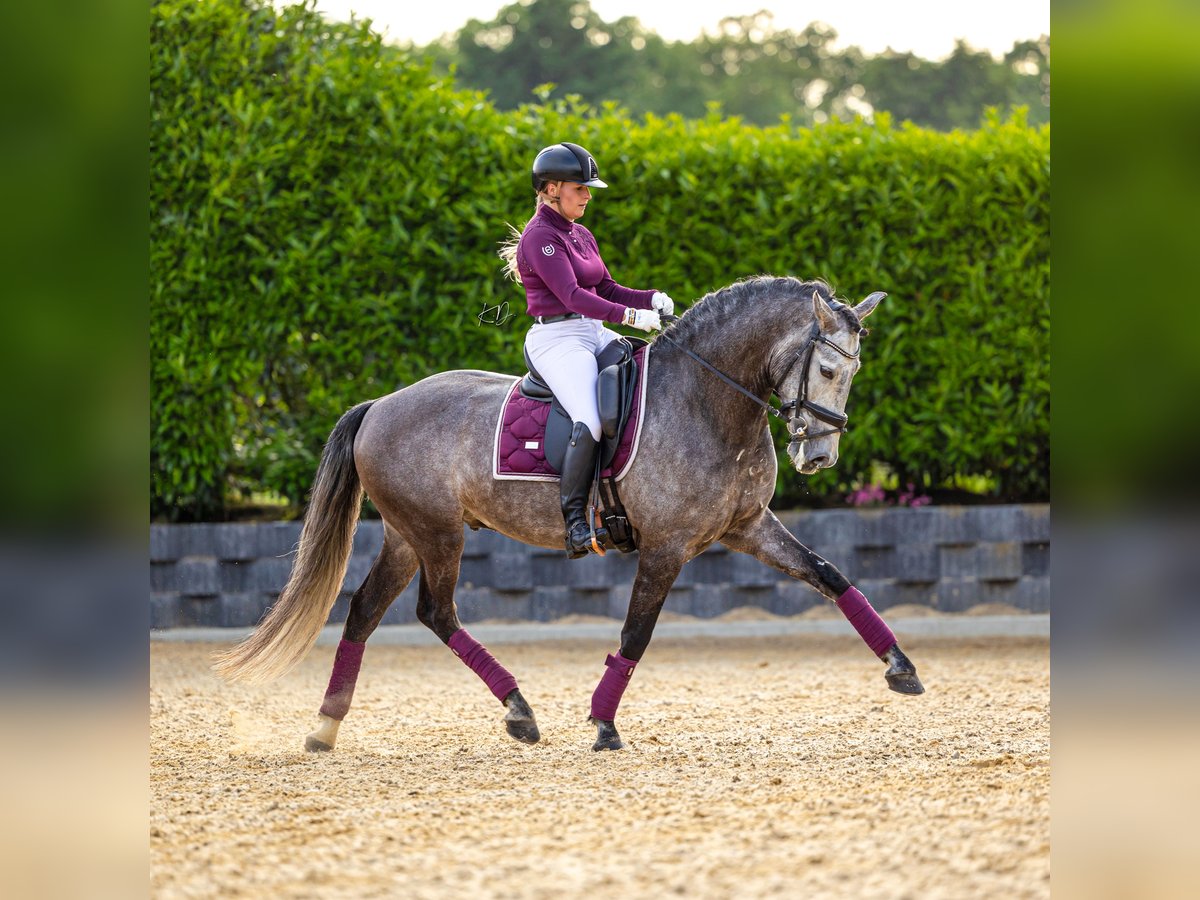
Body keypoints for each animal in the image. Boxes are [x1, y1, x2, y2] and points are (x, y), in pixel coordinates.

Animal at [216, 274, 921, 753]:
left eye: (853, 372)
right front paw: (604, 723)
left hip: (407, 536)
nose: (819, 456)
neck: (706, 400)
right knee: (436, 613)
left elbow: (830, 576)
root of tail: (380, 405)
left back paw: (327, 725)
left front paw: (901, 668)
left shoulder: (747, 527)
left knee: (366, 611)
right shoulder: (666, 547)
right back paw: (519, 711)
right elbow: (636, 634)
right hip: (437, 534)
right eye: (826, 368)